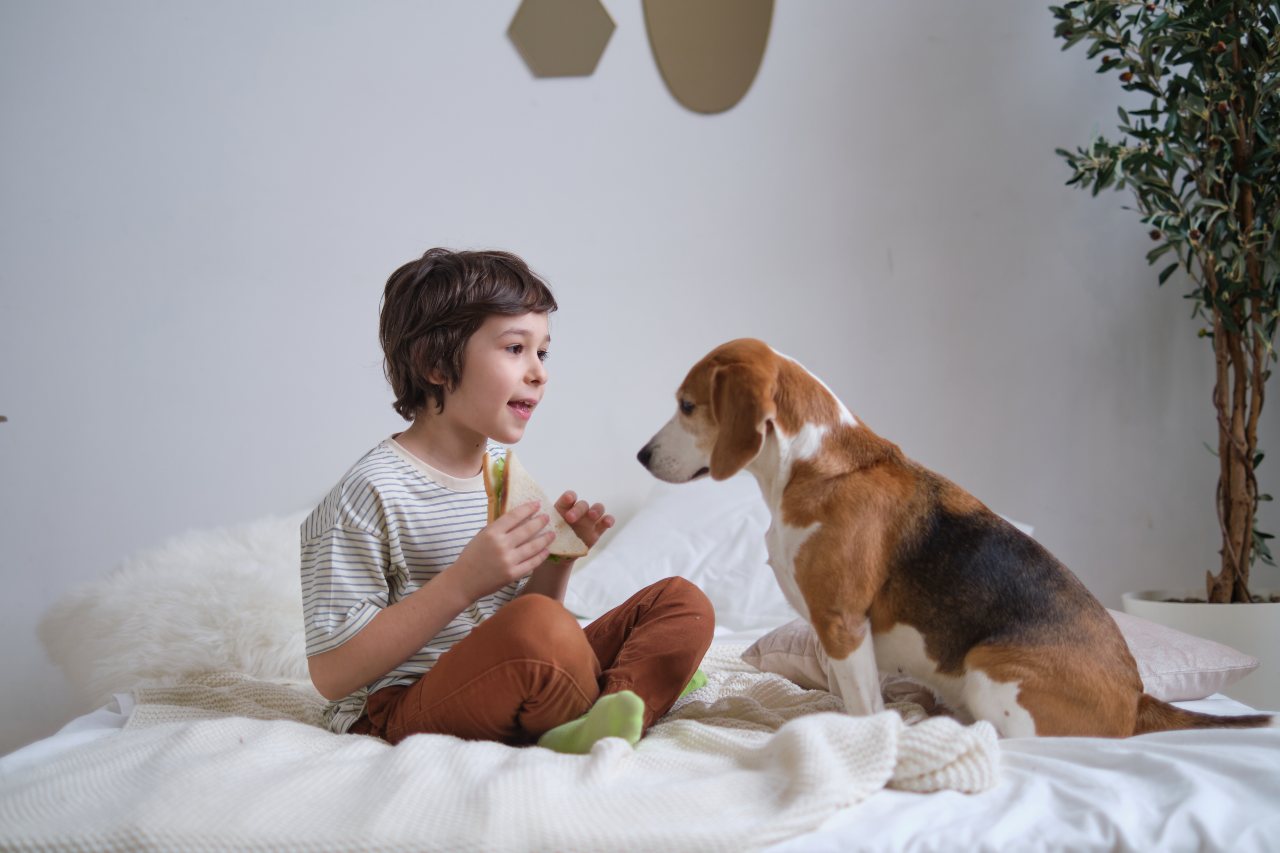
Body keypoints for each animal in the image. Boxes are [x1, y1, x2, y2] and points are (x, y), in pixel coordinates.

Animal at [640, 338, 1269, 737]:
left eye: (688, 406)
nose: (642, 455)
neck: (810, 464)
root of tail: (1138, 699)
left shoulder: (842, 623)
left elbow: (862, 705)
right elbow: (847, 698)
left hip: (990, 673)